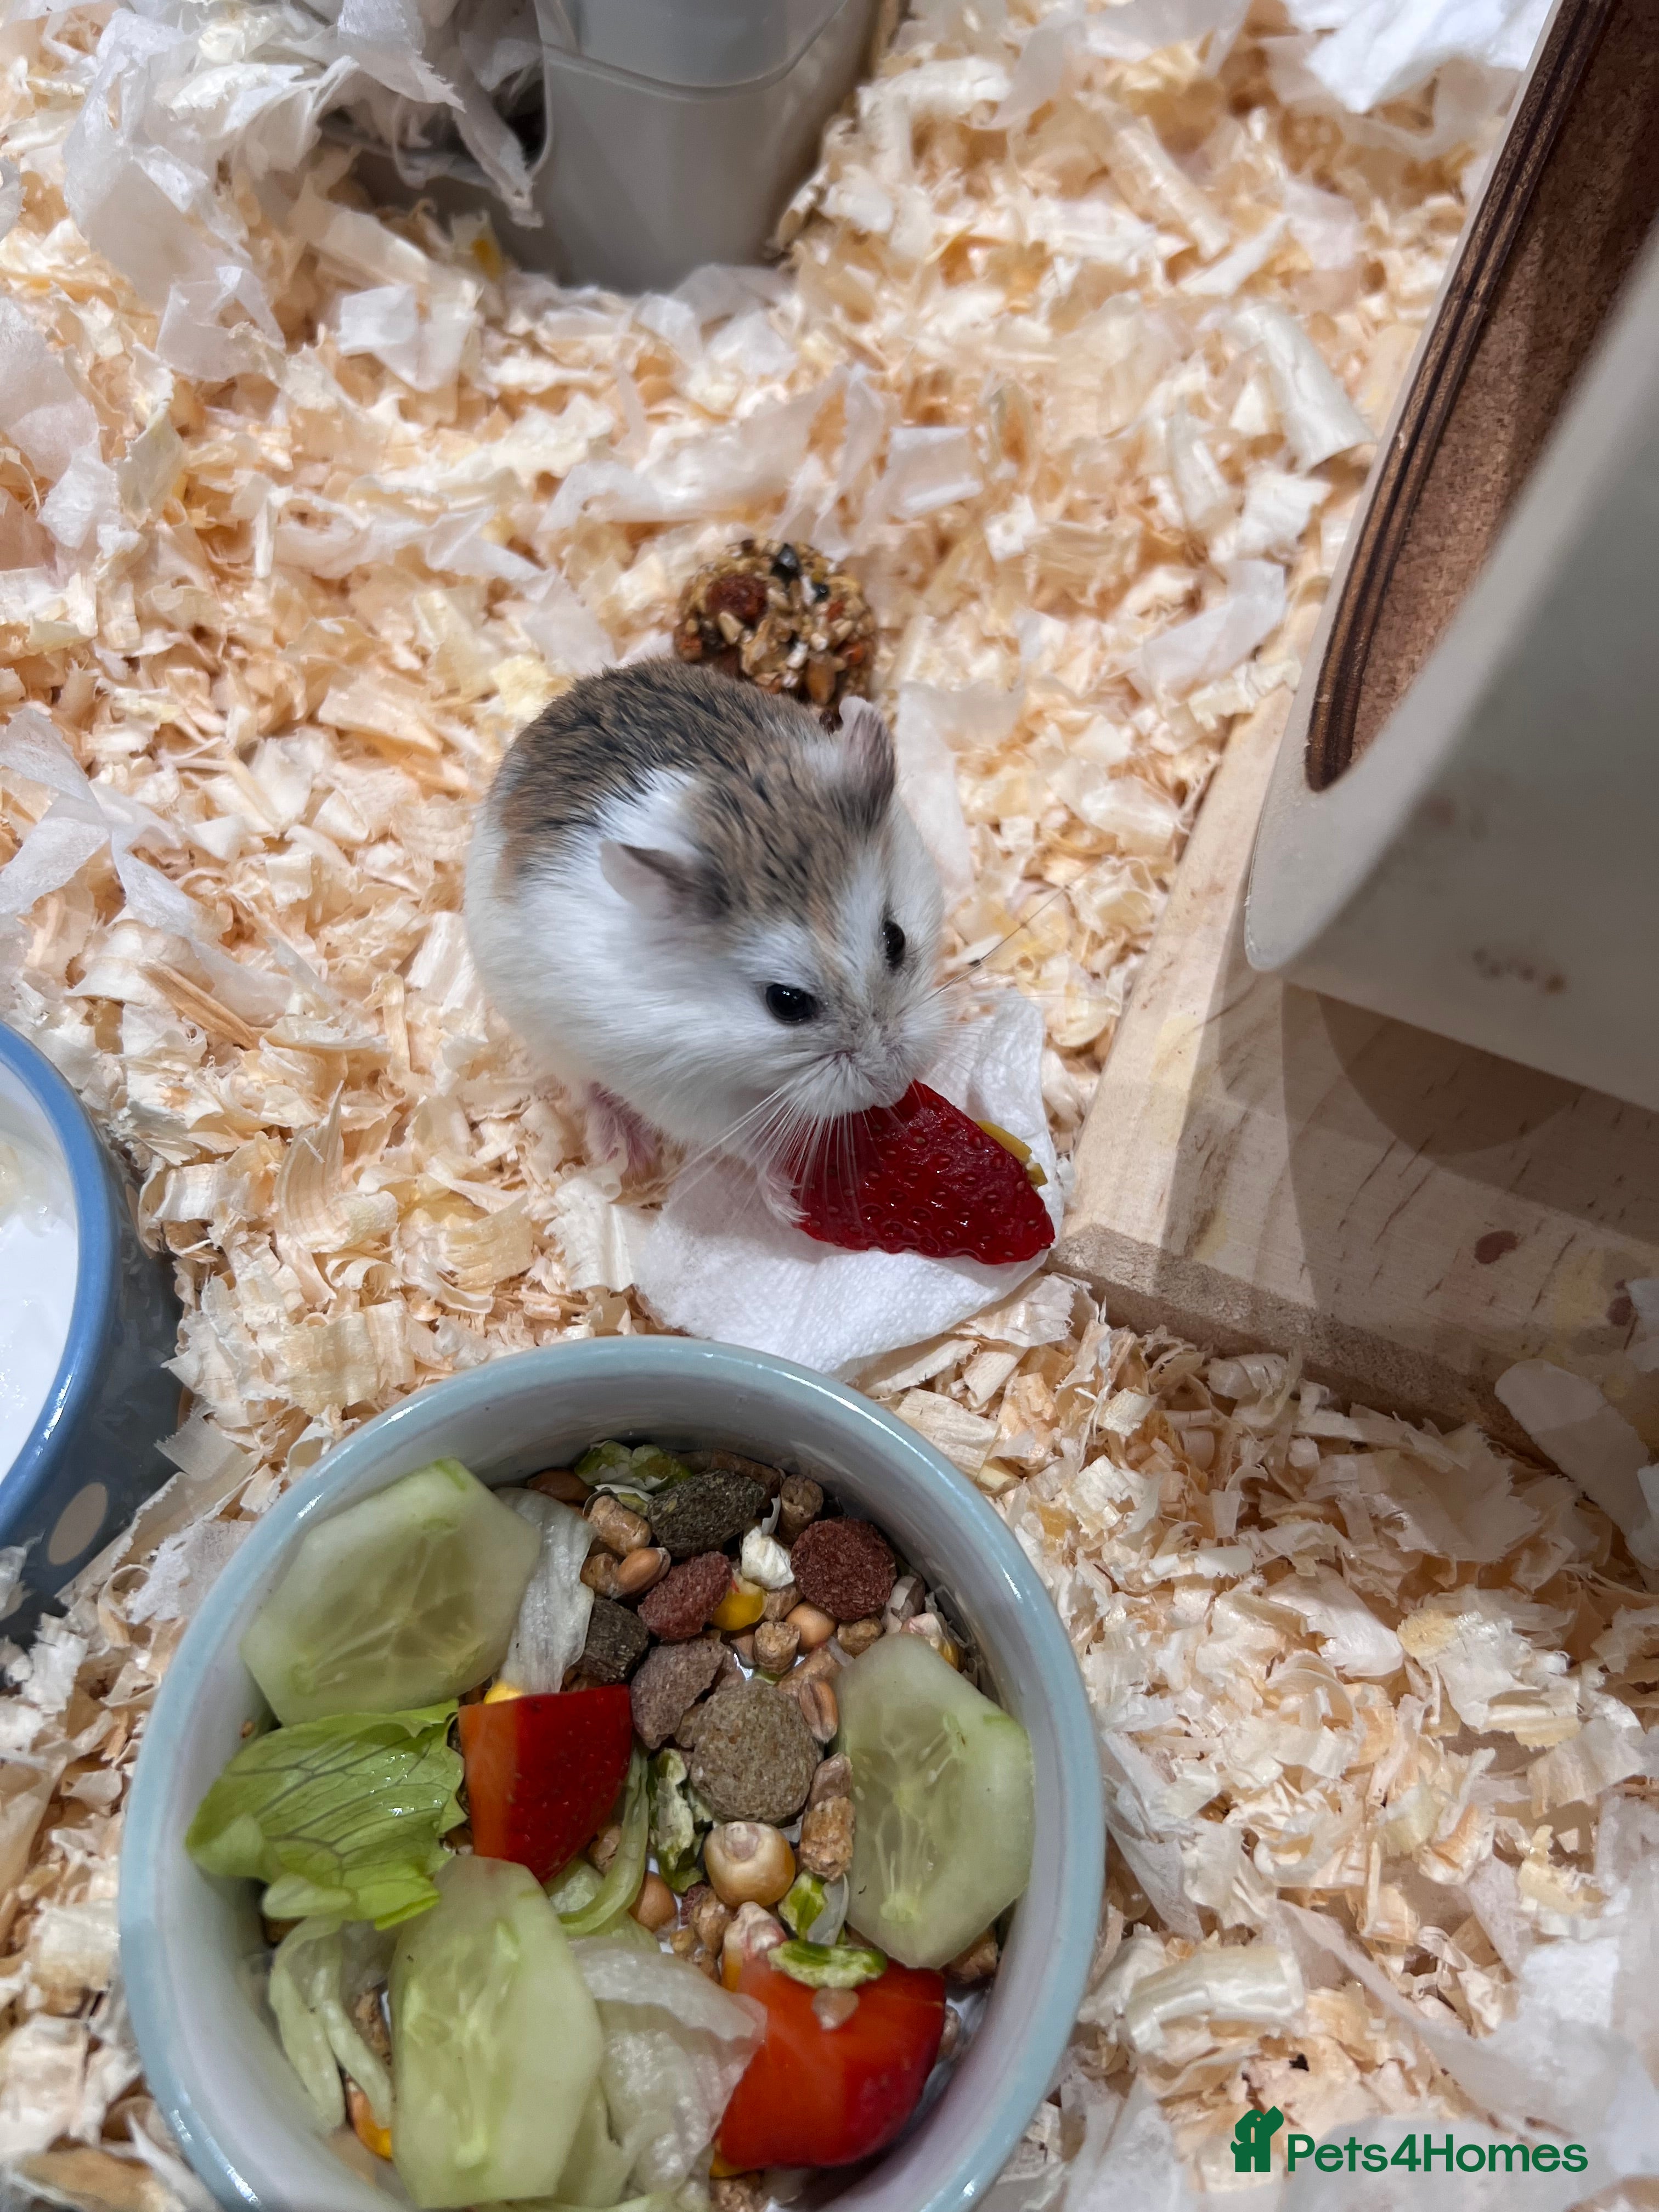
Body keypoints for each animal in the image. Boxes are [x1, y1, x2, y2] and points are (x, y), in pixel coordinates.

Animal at [464, 660, 947, 1189]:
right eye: (786, 1003)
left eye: (895, 939)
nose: (894, 1087)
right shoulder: (678, 1092)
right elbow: (748, 1143)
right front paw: (785, 1188)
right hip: (542, 1030)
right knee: (583, 1085)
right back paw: (626, 1155)